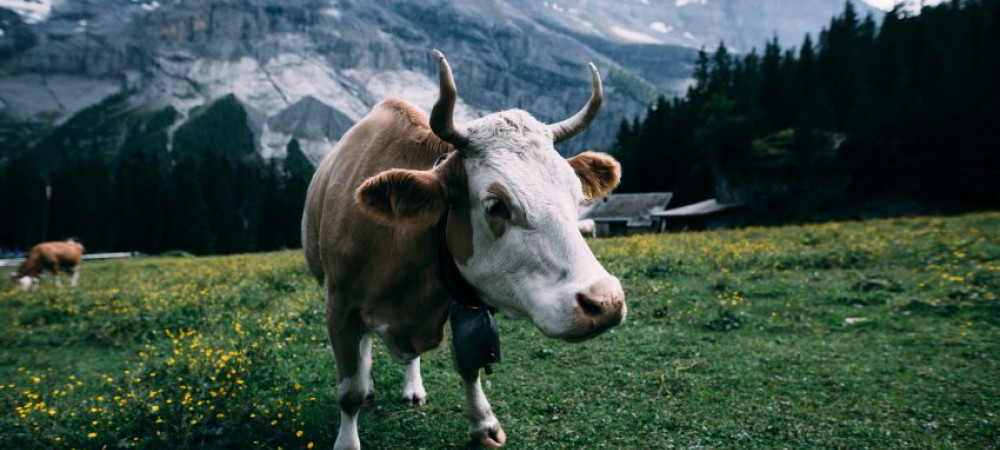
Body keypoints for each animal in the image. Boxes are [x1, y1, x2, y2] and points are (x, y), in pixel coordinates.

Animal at [302, 50, 624, 450]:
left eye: (576, 193)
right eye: (496, 205)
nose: (606, 302)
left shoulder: (459, 299)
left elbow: (469, 364)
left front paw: (483, 423)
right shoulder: (340, 307)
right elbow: (350, 391)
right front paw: (349, 436)